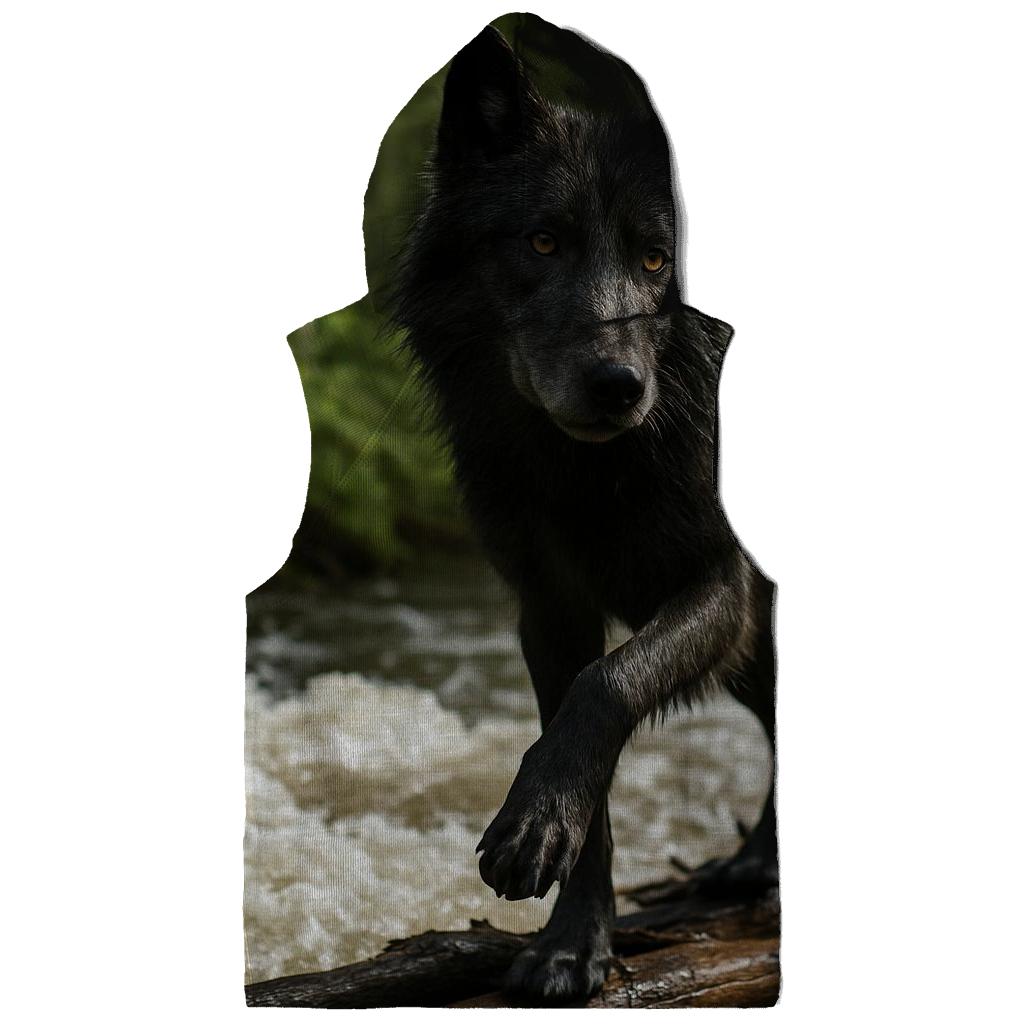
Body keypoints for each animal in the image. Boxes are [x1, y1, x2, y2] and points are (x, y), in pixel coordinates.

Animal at [393, 23, 778, 1002]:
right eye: (542, 242)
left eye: (656, 259)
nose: (616, 385)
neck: (597, 471)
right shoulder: (548, 607)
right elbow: (584, 744)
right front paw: (573, 941)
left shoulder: (723, 582)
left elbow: (609, 686)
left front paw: (536, 830)